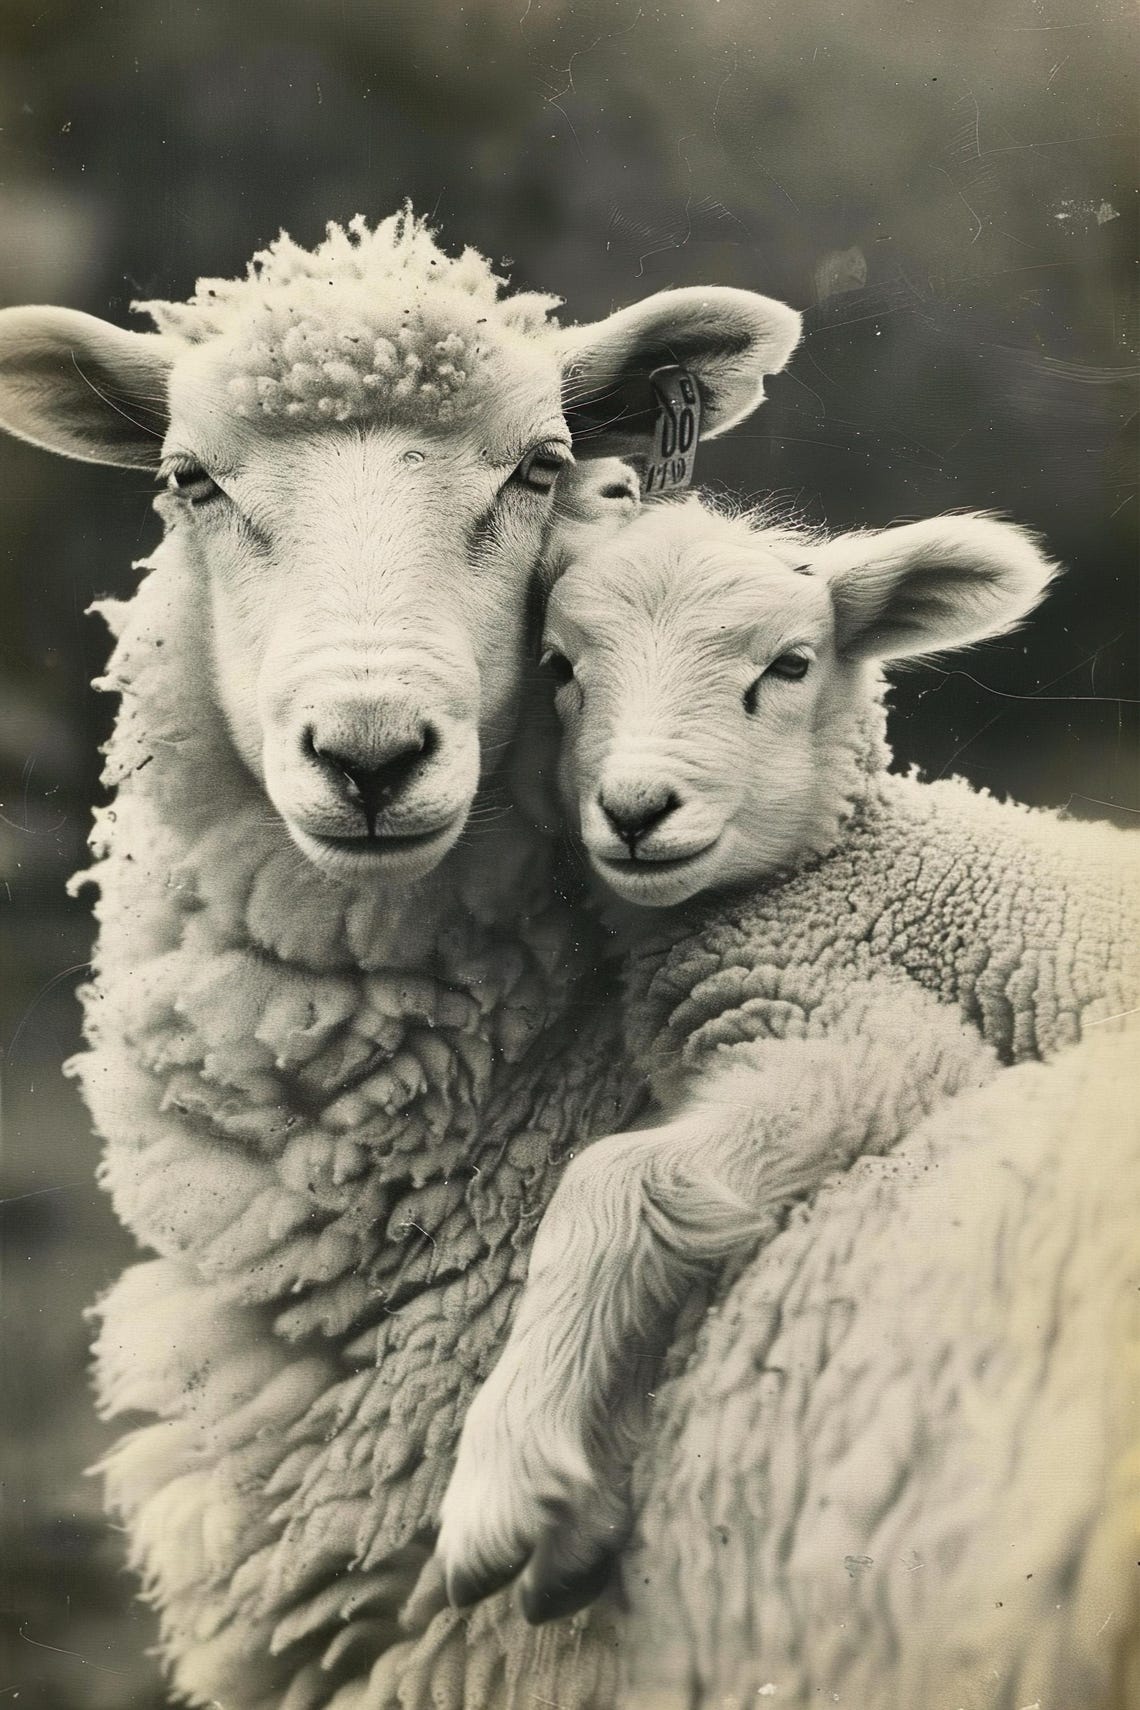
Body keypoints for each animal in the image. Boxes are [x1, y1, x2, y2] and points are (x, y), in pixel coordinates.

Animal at [436, 495, 1140, 1641]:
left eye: (791, 664)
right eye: (558, 666)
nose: (637, 809)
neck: (835, 870)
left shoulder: (878, 1042)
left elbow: (613, 1180)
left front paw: (501, 1484)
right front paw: (583, 1509)